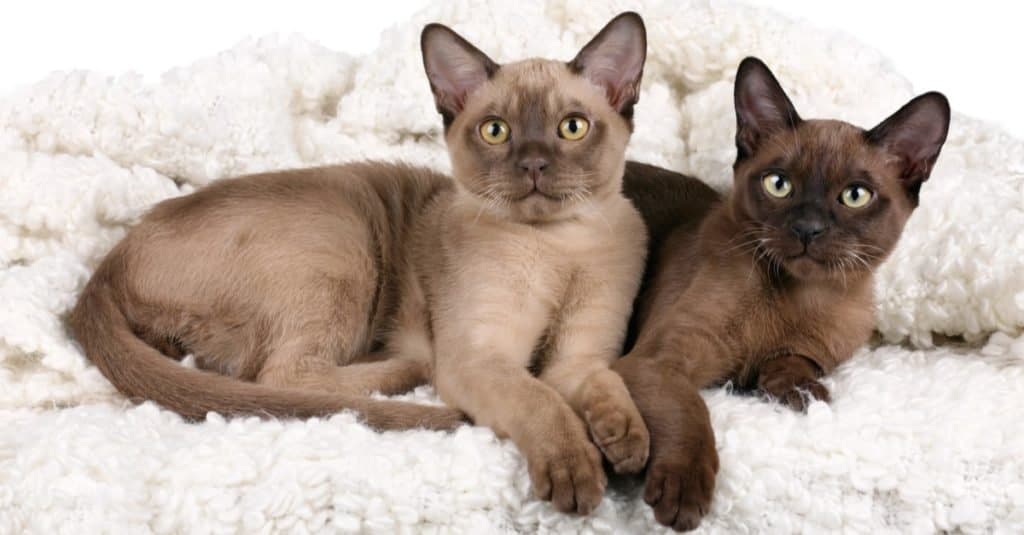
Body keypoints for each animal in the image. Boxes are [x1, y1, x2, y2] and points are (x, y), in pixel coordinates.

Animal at [72, 13, 647, 512]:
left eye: (572, 128)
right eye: (496, 131)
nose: (533, 164)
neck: (561, 247)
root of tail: (109, 262)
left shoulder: (577, 359)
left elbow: (604, 387)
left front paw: (625, 444)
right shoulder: (483, 358)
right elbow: (541, 401)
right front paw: (578, 473)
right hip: (345, 243)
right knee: (284, 377)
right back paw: (407, 366)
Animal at [614, 58, 950, 528]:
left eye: (855, 196)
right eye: (779, 184)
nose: (808, 228)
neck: (800, 298)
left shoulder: (817, 351)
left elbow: (795, 362)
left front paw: (802, 395)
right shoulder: (659, 362)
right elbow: (691, 411)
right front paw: (684, 496)